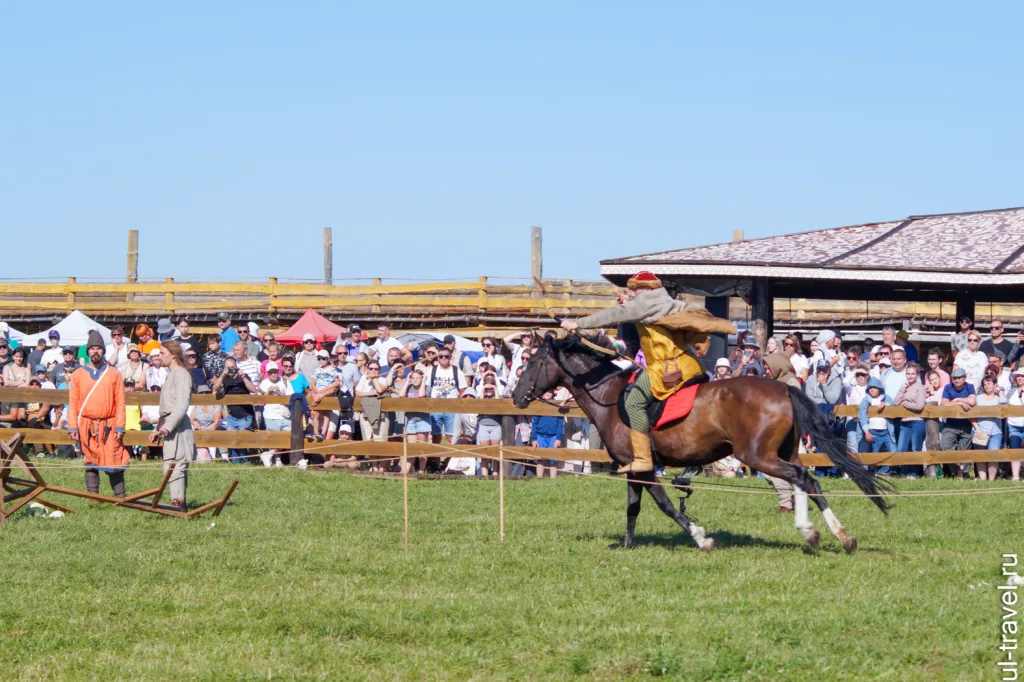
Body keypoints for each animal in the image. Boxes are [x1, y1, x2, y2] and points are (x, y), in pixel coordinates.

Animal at [512, 333, 888, 552]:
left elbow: (664, 504)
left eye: (533, 361)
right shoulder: (633, 467)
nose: (516, 396)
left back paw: (816, 532)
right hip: (782, 452)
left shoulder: (644, 467)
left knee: (802, 478)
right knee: (806, 480)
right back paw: (835, 535)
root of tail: (782, 387)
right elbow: (633, 507)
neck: (610, 396)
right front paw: (628, 544)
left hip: (757, 455)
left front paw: (700, 536)